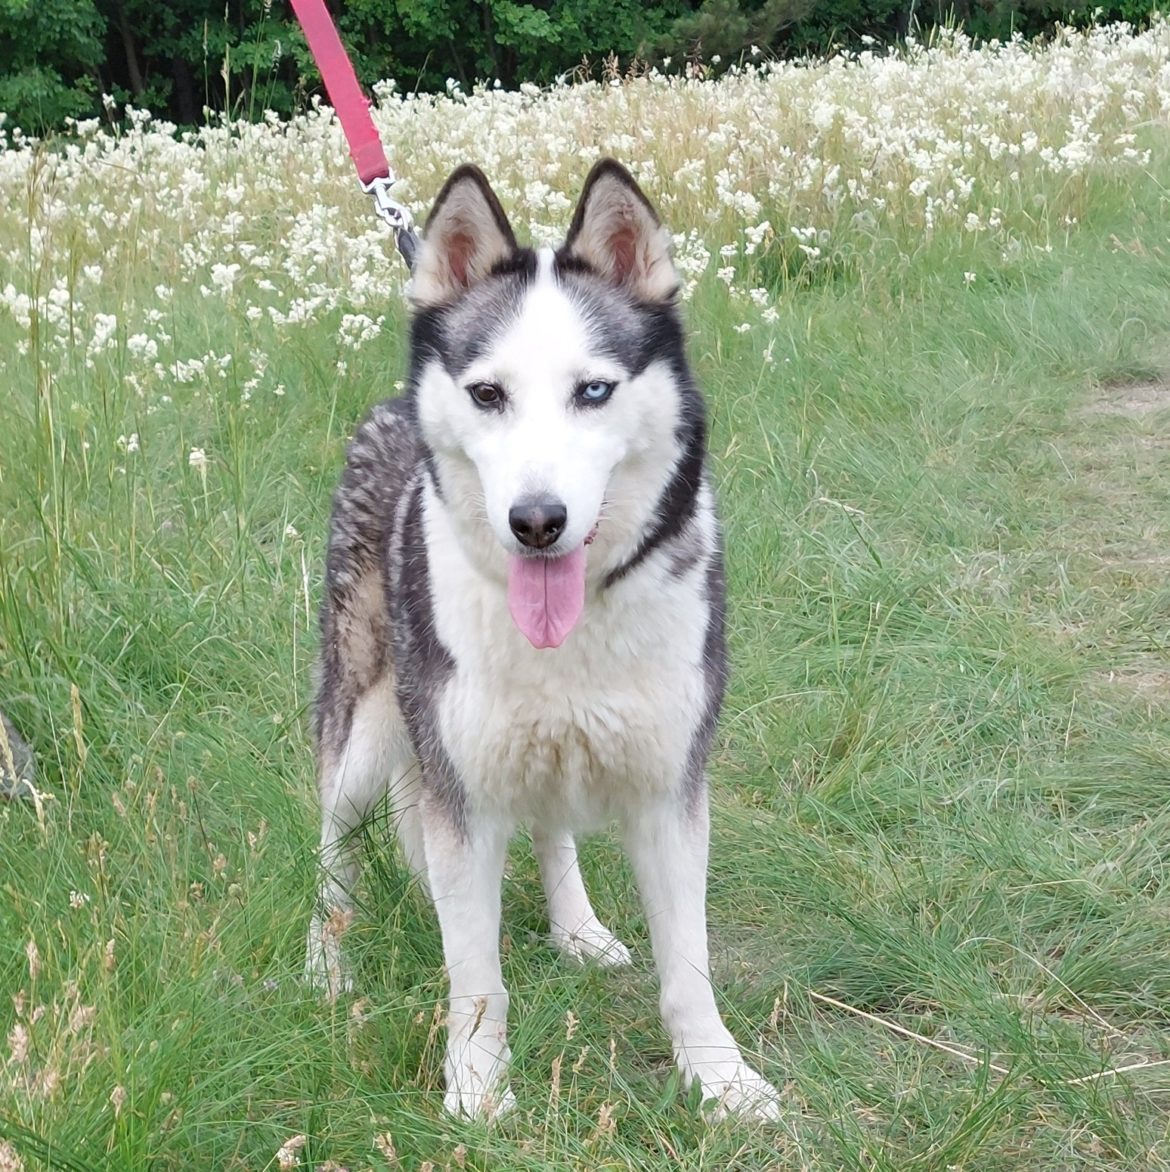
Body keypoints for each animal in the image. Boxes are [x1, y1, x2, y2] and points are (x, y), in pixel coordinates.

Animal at [304, 159, 782, 1121]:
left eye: (592, 390)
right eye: (488, 394)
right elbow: (475, 973)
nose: (535, 522)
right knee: (332, 852)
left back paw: (578, 928)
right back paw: (325, 964)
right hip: (368, 728)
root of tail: (389, 408)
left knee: (552, 827)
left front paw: (718, 1078)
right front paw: (478, 1086)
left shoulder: (671, 785)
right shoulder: (459, 794)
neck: (578, 618)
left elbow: (689, 965)